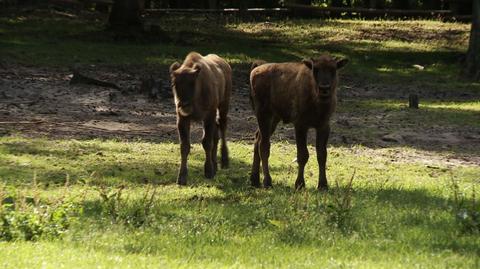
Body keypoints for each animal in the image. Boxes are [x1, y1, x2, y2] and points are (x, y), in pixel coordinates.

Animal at [170, 51, 232, 184]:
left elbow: (206, 142)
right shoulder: (182, 119)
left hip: (224, 105)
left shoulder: (208, 116)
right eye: (174, 83)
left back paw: (224, 161)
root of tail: (226, 64)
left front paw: (208, 171)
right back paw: (215, 164)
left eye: (192, 83)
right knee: (216, 134)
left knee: (222, 127)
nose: (183, 104)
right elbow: (185, 146)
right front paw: (182, 177)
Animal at [249, 54, 346, 188]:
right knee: (264, 145)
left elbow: (322, 155)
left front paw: (323, 185)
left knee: (257, 139)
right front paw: (300, 184)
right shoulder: (300, 126)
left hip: (273, 119)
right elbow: (303, 155)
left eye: (333, 69)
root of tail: (258, 68)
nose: (324, 88)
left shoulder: (324, 126)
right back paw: (267, 182)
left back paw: (254, 180)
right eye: (315, 69)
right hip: (263, 115)